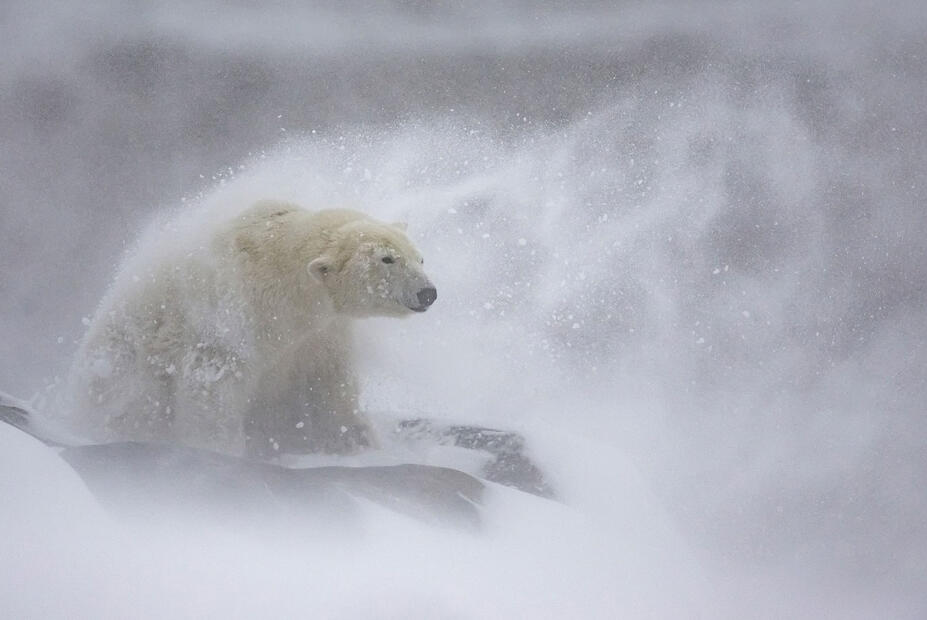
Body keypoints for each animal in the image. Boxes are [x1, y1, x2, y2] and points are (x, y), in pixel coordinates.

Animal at [63, 201, 436, 458]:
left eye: (419, 258)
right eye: (387, 259)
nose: (427, 292)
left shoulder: (321, 333)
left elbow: (330, 384)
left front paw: (356, 440)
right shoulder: (233, 315)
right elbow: (212, 384)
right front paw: (220, 450)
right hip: (122, 364)